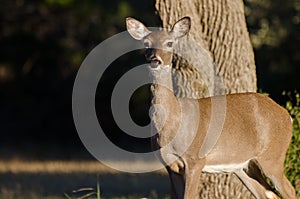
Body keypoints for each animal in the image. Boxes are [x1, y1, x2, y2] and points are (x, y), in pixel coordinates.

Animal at [125, 16, 296, 198]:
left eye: (169, 43)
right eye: (146, 43)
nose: (155, 61)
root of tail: (287, 115)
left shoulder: (195, 159)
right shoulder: (170, 166)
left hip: (273, 156)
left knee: (289, 189)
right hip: (244, 166)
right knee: (268, 193)